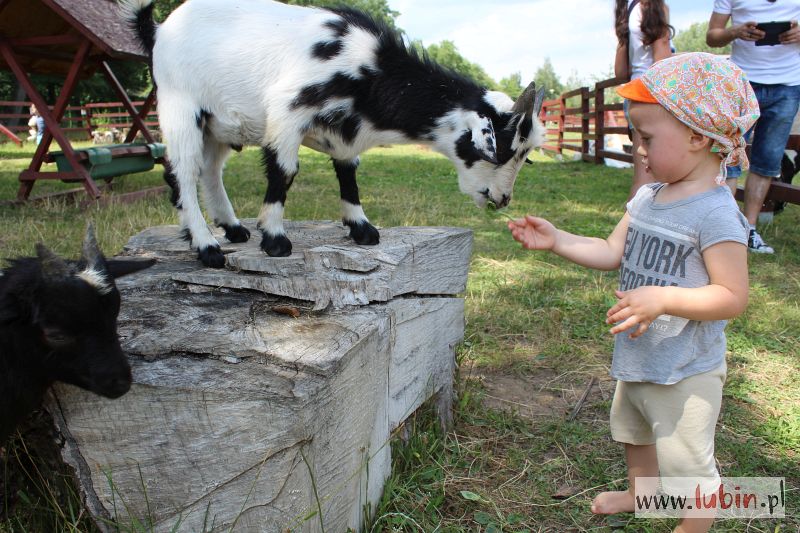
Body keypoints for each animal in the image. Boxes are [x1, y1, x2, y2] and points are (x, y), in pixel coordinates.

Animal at [122, 0, 548, 266]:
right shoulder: (289, 108)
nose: (503, 199)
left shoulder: (345, 129)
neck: (371, 71)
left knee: (210, 170)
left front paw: (361, 228)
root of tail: (158, 30)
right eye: (506, 149)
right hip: (181, 105)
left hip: (218, 123)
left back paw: (233, 228)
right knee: (180, 172)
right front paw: (275, 238)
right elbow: (284, 172)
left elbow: (348, 174)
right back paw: (206, 245)